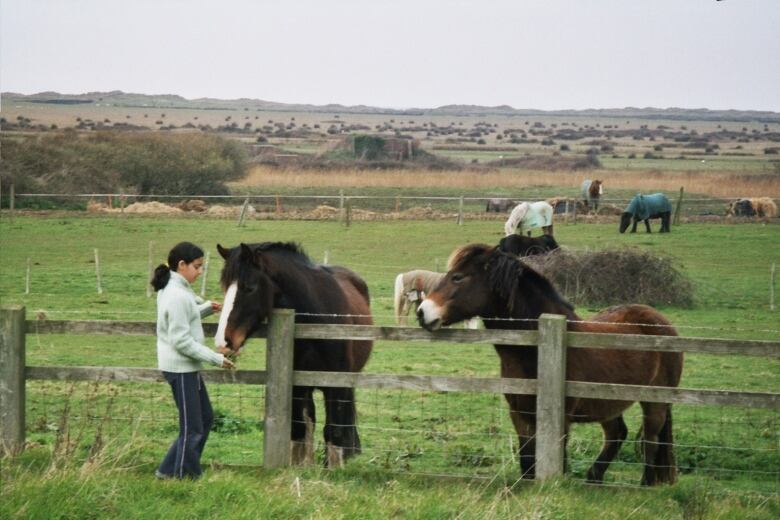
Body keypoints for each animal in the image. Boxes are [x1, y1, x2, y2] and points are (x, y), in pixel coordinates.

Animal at [213, 243, 372, 468]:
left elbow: (334, 431)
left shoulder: (336, 385)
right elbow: (300, 429)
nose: (223, 342)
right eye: (225, 287)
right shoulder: (297, 385)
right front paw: (301, 467)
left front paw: (333, 467)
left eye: (250, 288)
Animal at [414, 246, 684, 486]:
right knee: (617, 434)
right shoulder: (519, 413)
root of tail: (661, 322)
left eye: (458, 277)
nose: (421, 312)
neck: (533, 350)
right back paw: (594, 478)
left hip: (655, 402)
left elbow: (557, 459)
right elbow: (526, 459)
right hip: (608, 403)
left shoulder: (560, 418)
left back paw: (644, 485)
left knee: (651, 442)